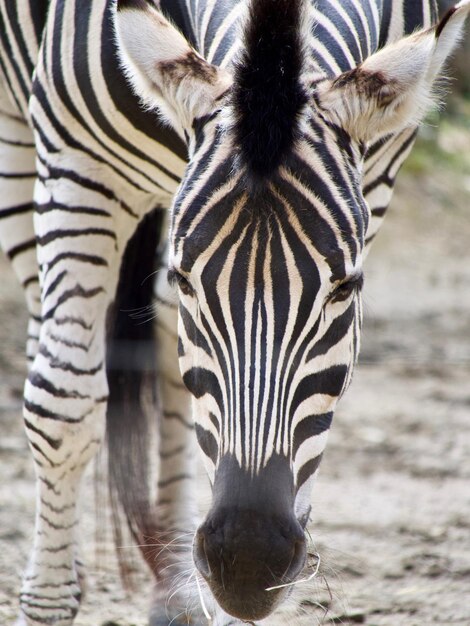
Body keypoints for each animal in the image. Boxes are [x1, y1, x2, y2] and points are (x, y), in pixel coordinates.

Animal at [0, 0, 468, 620]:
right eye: (188, 280)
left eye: (346, 288)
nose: (247, 561)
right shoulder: (76, 161)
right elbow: (63, 402)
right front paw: (49, 602)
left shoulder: (379, 172)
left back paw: (175, 586)